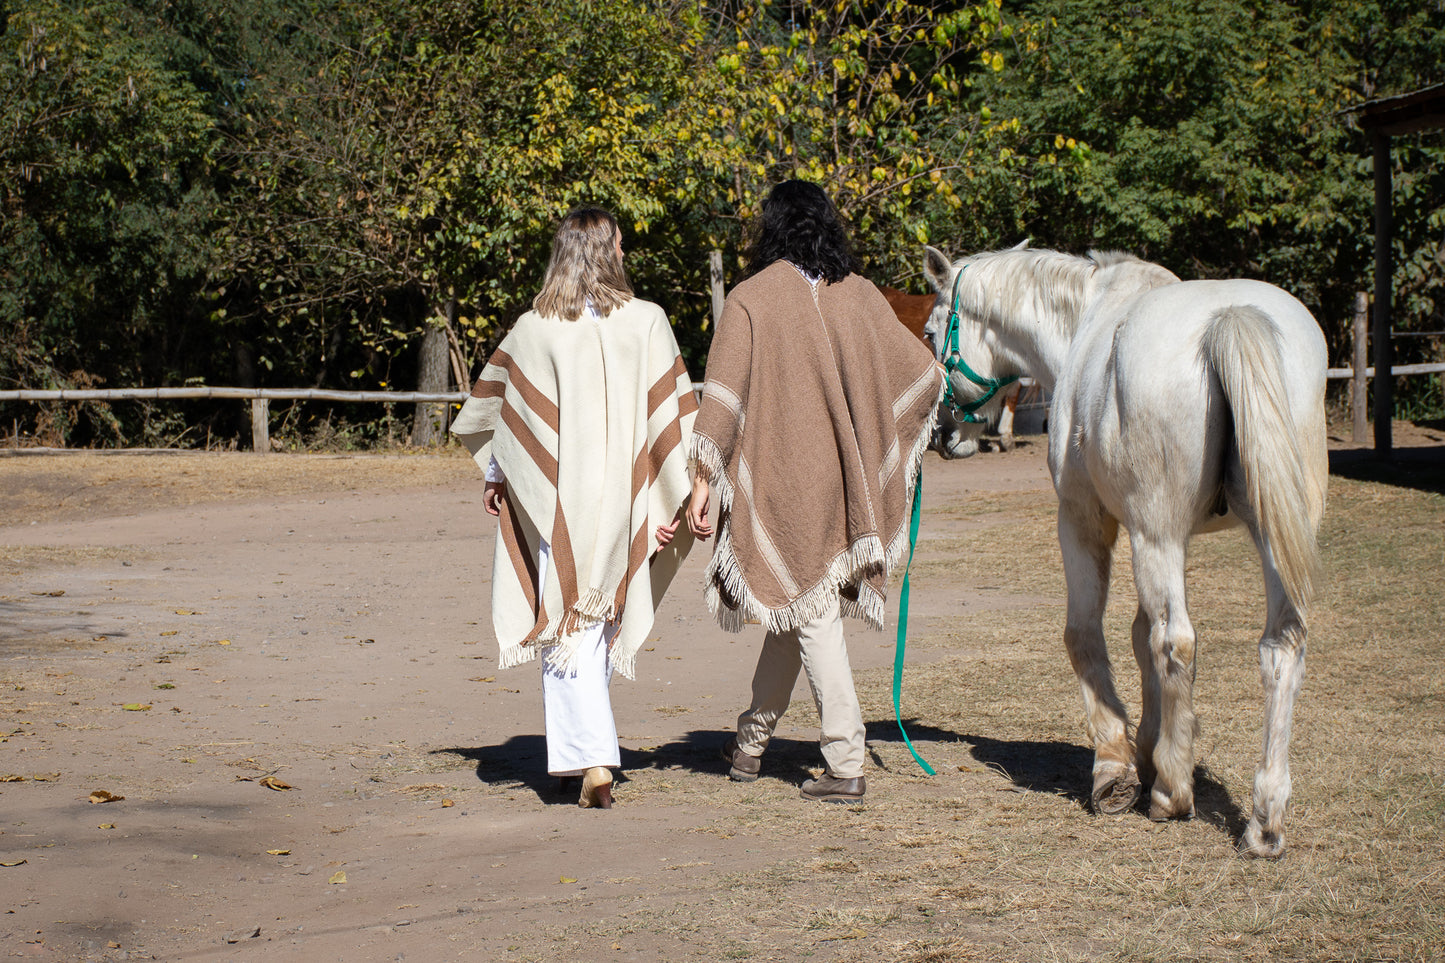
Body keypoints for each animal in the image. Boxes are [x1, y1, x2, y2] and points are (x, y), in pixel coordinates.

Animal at [924, 241, 1329, 856]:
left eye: (931, 333)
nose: (944, 436)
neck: (1086, 319)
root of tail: (1230, 317)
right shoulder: (1155, 538)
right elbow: (1139, 636)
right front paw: (1149, 747)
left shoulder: (1087, 521)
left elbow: (1087, 634)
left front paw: (1117, 765)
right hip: (1266, 535)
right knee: (1280, 646)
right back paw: (1263, 819)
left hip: (1156, 535)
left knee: (1177, 641)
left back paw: (1173, 795)